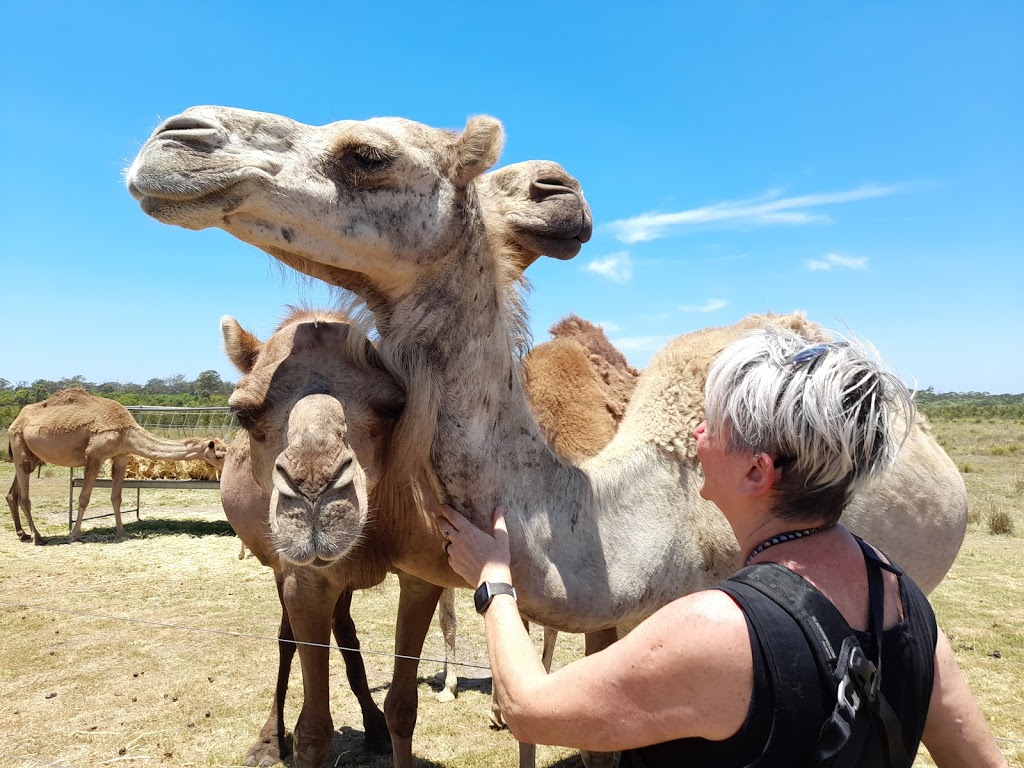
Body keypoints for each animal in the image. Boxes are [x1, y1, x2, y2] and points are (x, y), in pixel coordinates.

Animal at [7, 391, 227, 548]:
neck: (126, 431)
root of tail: (14, 422)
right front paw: (75, 535)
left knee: (12, 493)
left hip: (32, 455)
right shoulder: (94, 456)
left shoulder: (121, 456)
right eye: (220, 454)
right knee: (24, 497)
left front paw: (122, 533)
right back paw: (38, 537)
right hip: (19, 444)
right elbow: (84, 498)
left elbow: (116, 497)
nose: (227, 467)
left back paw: (23, 534)